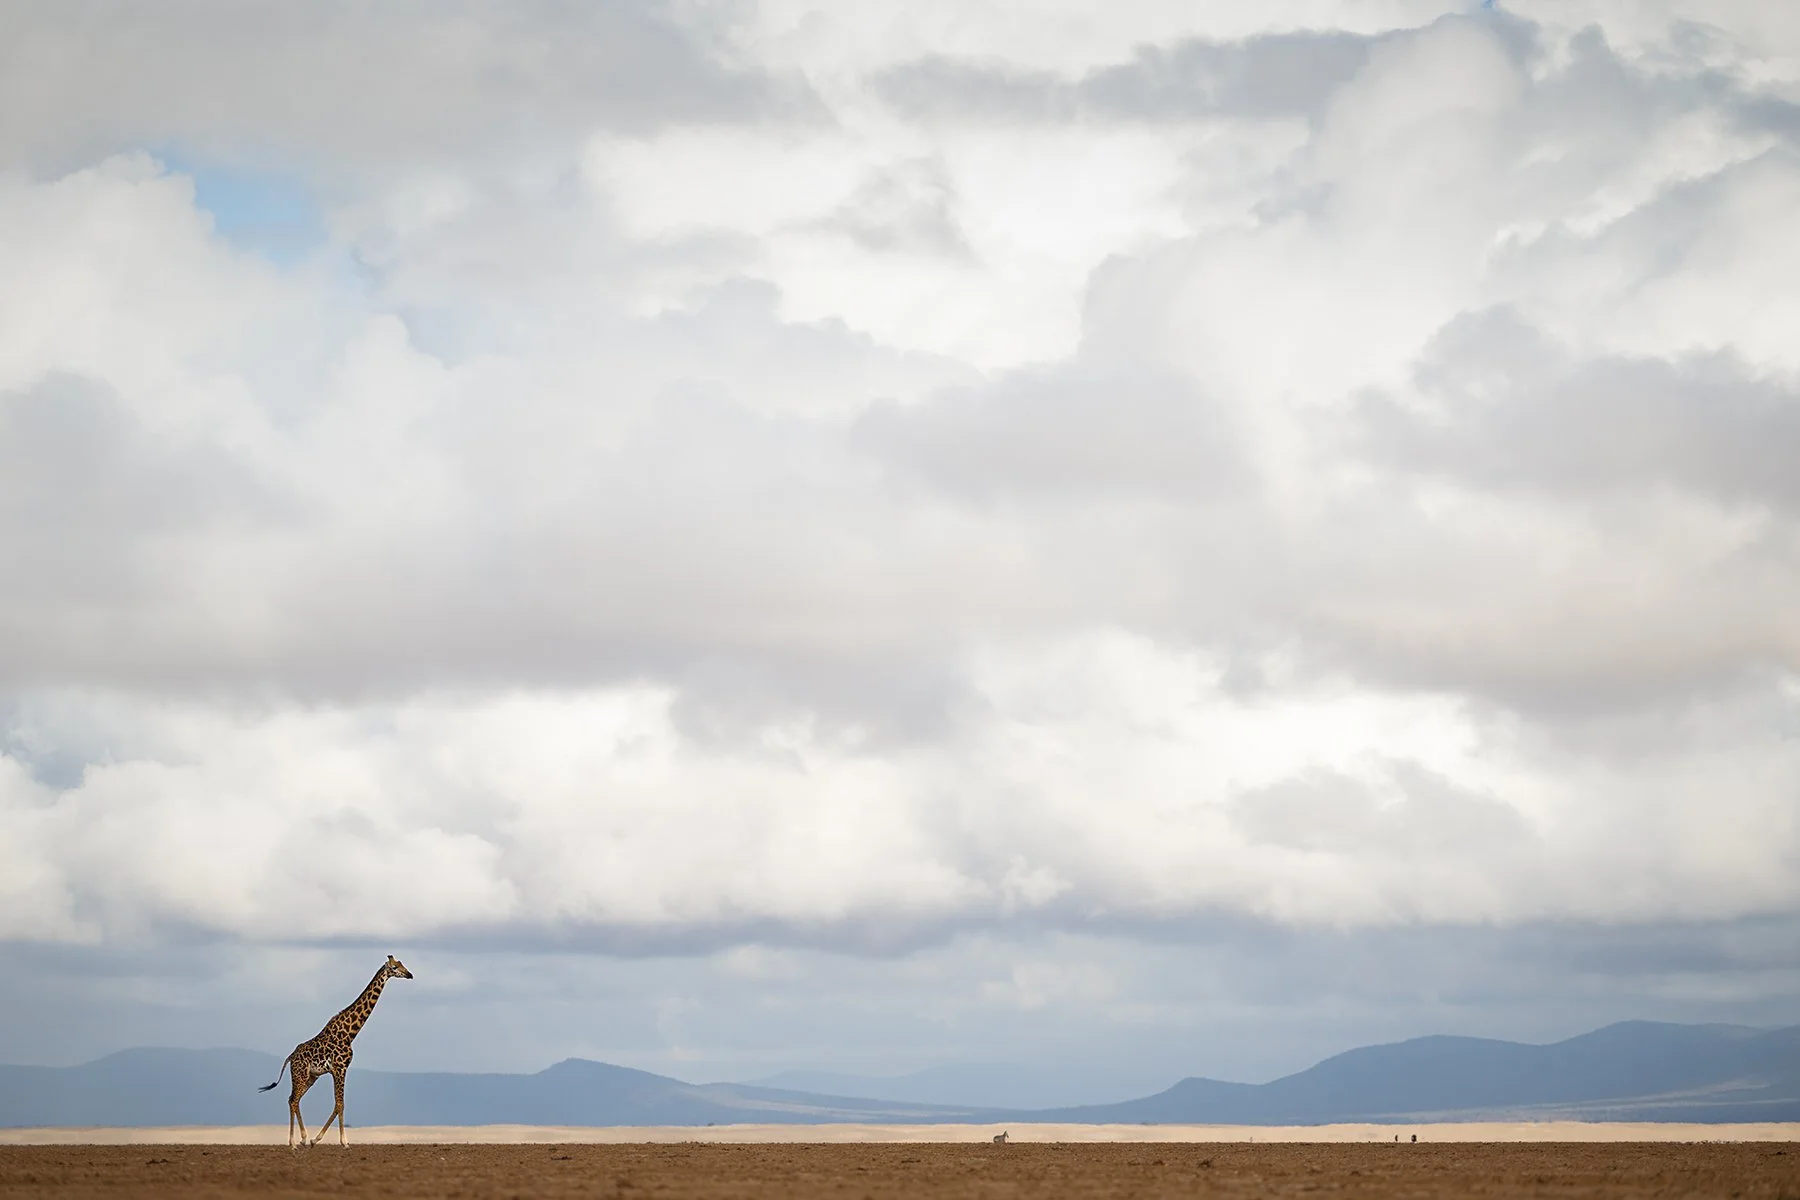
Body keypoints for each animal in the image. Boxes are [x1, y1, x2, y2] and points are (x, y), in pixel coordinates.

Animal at [258, 955, 413, 1148]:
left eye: (402, 964)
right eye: (394, 967)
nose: (410, 974)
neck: (349, 1033)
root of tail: (290, 1057)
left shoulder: (337, 1070)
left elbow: (338, 1104)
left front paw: (316, 1139)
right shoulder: (340, 1068)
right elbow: (340, 1104)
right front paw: (343, 1142)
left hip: (311, 1077)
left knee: (293, 1099)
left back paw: (302, 1139)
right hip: (300, 1075)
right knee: (293, 1100)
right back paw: (294, 1142)